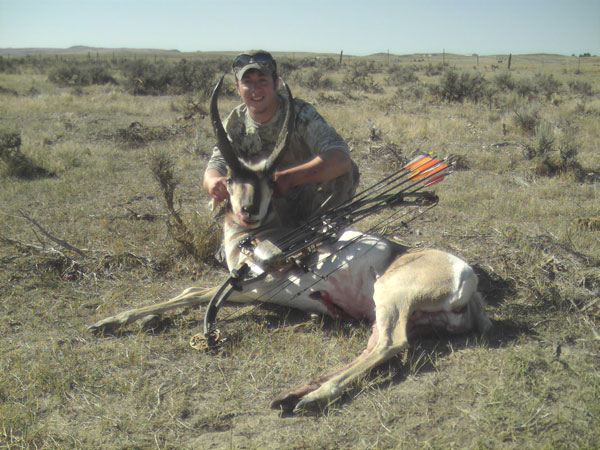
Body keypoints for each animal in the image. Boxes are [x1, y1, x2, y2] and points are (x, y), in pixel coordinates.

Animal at [90, 76, 492, 412]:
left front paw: (108, 321)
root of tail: (467, 280)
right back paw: (290, 395)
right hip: (392, 312)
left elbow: (192, 294)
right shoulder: (242, 290)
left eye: (271, 179)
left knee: (391, 344)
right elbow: (188, 293)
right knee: (375, 345)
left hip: (391, 296)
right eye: (231, 177)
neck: (257, 237)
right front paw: (126, 321)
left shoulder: (248, 286)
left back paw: (311, 399)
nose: (249, 210)